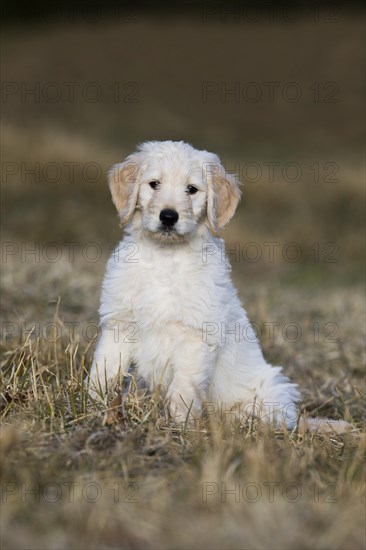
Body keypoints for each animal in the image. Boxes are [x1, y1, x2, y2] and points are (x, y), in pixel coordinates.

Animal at [88, 140, 348, 434]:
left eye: (191, 189)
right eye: (154, 184)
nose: (169, 216)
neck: (165, 258)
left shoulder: (197, 336)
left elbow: (183, 389)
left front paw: (181, 427)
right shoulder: (119, 325)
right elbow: (103, 372)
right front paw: (94, 408)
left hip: (270, 391)